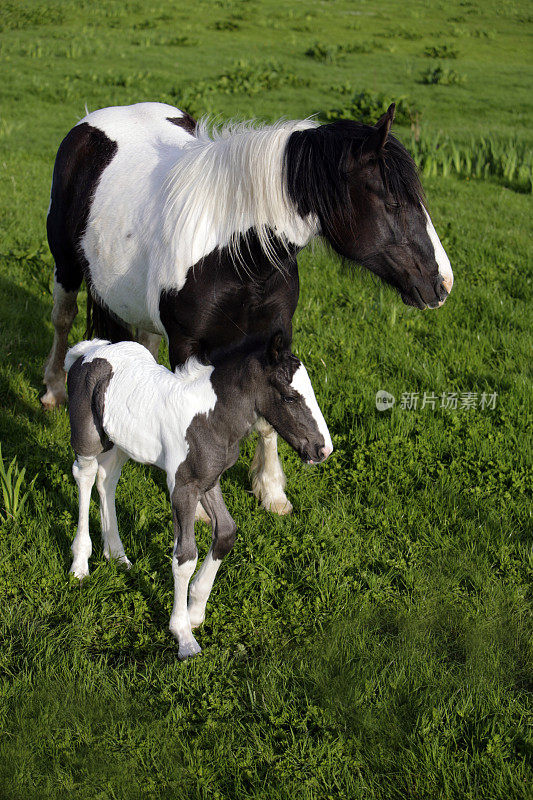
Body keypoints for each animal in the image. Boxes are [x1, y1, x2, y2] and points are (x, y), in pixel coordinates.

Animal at [41, 101, 450, 512]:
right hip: (66, 266)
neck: (235, 254)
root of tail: (97, 119)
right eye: (393, 202)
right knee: (62, 320)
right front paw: (200, 508)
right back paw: (53, 391)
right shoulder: (186, 345)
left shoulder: (272, 337)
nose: (442, 283)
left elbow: (267, 414)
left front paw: (271, 491)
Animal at [64, 332, 330, 656]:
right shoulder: (183, 487)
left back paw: (117, 555)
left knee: (107, 478)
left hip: (123, 442)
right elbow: (185, 556)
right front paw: (183, 635)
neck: (211, 417)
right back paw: (80, 564)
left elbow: (226, 533)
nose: (323, 450)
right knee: (86, 475)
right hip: (89, 438)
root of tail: (89, 349)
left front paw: (195, 613)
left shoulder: (209, 481)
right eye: (290, 396)